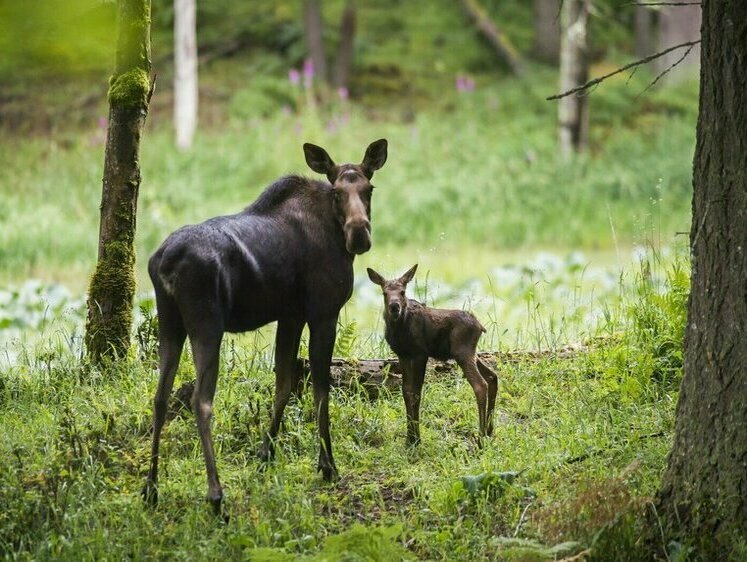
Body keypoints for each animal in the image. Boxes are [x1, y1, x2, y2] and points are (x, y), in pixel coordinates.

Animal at [141, 139, 388, 512]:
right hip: (207, 324)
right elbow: (320, 389)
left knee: (159, 397)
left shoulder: (290, 315)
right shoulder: (323, 312)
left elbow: (283, 384)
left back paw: (151, 488)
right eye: (336, 193)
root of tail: (163, 263)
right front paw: (328, 465)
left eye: (369, 188)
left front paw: (265, 454)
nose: (359, 235)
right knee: (201, 400)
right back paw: (216, 495)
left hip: (170, 322)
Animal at [366, 264, 496, 444]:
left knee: (480, 384)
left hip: (463, 353)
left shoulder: (420, 354)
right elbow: (406, 391)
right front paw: (410, 439)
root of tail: (480, 326)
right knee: (492, 376)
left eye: (403, 292)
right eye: (384, 293)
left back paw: (481, 438)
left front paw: (416, 439)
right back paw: (490, 431)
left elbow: (416, 393)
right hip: (471, 353)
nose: (394, 307)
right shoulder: (403, 355)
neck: (399, 329)